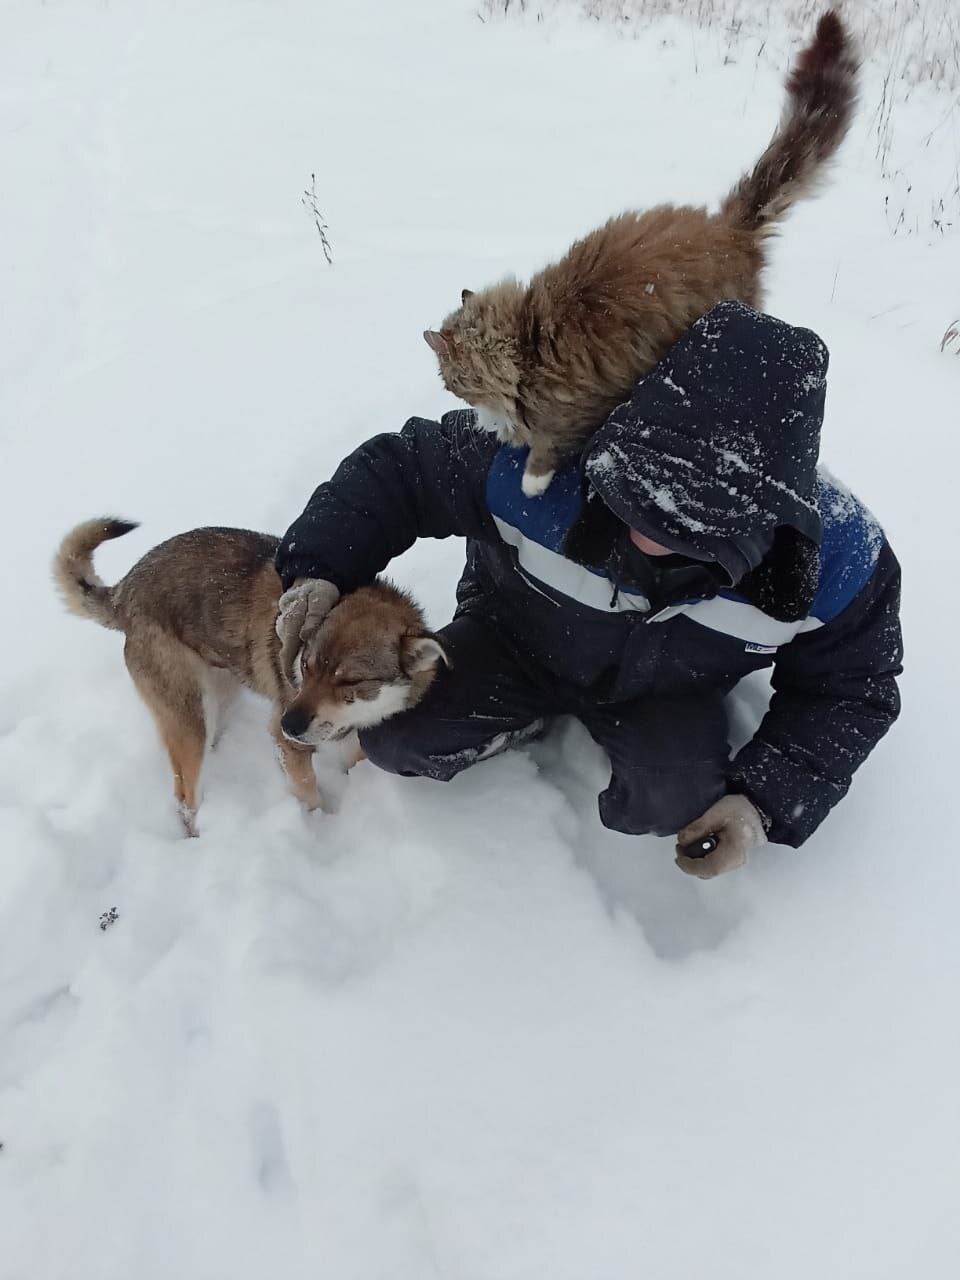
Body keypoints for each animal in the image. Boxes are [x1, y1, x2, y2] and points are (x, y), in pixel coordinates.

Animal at [56, 514, 450, 834]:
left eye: (350, 682)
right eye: (305, 667)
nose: (289, 724)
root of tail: (124, 591)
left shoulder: (350, 735)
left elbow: (353, 762)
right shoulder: (289, 743)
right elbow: (309, 794)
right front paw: (318, 829)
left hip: (221, 695)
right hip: (191, 716)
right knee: (184, 796)